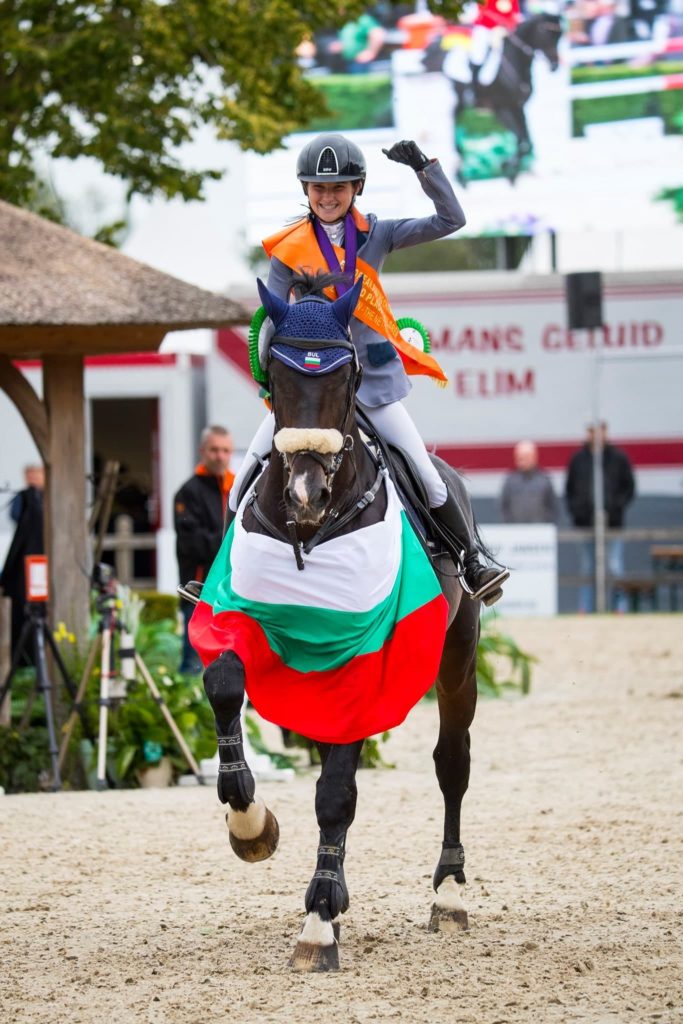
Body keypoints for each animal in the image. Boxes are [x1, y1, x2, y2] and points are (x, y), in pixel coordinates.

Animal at [192, 276, 481, 970]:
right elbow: (223, 684)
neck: (308, 537)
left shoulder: (362, 659)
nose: (305, 493)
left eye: (349, 374)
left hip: (458, 656)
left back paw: (450, 894)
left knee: (451, 762)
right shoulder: (248, 623)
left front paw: (320, 918)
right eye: (275, 373)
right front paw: (250, 823)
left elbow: (338, 790)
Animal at [428, 14, 561, 184]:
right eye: (545, 33)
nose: (555, 65)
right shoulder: (501, 108)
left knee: (455, 116)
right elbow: (521, 138)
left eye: (560, 35)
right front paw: (508, 164)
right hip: (455, 97)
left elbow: (526, 141)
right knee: (452, 117)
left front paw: (512, 165)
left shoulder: (518, 107)